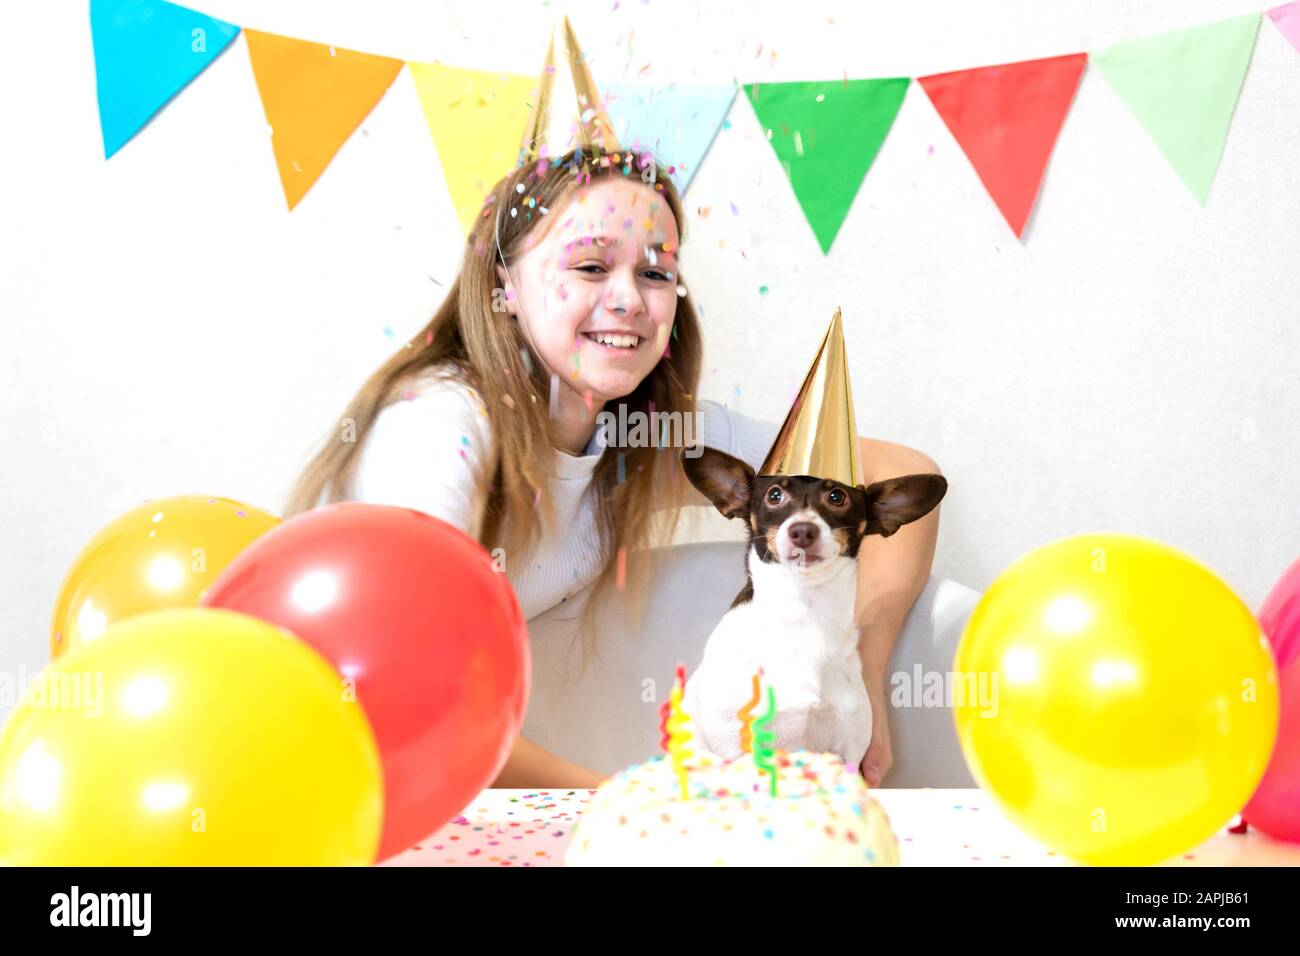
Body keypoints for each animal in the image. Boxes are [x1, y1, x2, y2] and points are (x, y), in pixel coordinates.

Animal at [681, 450, 946, 780]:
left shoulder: (849, 749)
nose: (803, 530)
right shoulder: (732, 744)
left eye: (837, 497)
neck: (802, 617)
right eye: (774, 495)